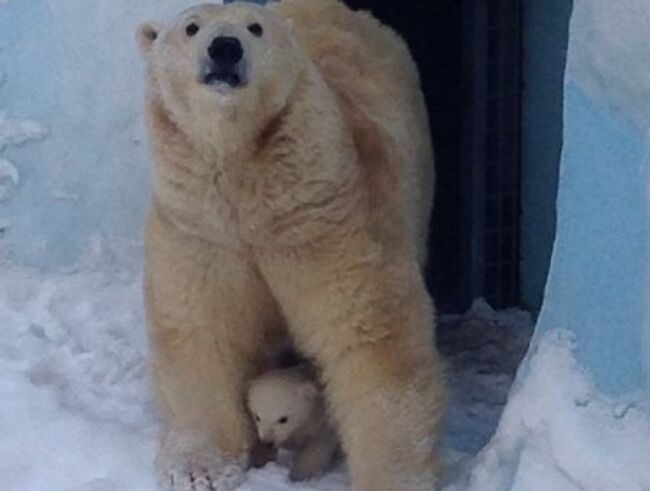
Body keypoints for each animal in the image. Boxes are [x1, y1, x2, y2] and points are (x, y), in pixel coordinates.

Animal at [135, 0, 442, 491]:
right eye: (191, 27)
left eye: (255, 27)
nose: (225, 48)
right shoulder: (200, 227)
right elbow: (201, 329)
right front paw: (199, 468)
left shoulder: (328, 219)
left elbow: (370, 337)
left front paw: (391, 478)